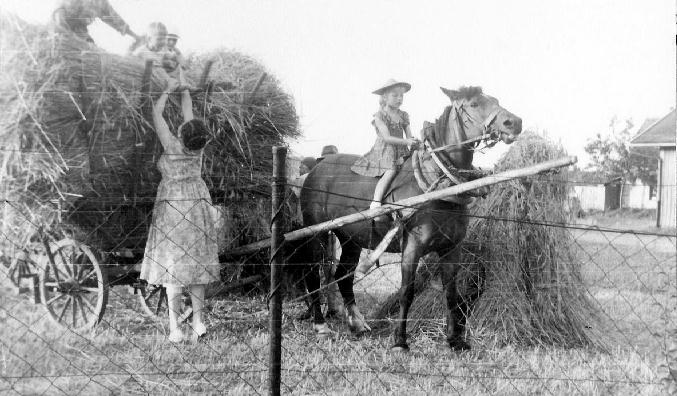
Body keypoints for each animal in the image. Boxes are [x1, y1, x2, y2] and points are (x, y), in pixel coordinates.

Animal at [300, 85, 524, 352]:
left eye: (495, 99)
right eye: (473, 104)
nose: (515, 123)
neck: (437, 184)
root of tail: (316, 169)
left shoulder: (452, 248)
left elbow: (452, 293)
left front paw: (456, 340)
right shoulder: (412, 247)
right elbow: (407, 292)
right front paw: (400, 341)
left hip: (351, 238)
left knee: (343, 276)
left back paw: (357, 324)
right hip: (317, 234)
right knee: (313, 275)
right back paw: (320, 325)